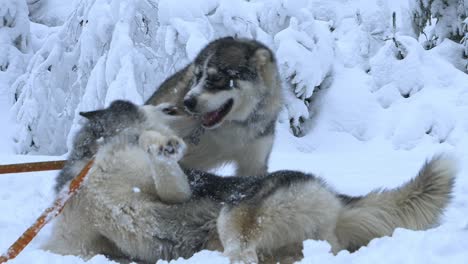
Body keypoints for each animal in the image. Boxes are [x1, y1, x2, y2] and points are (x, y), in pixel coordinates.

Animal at [44, 102, 458, 262]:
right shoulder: (73, 246)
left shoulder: (176, 189)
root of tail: (334, 199)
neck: (91, 165)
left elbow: (155, 151)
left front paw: (161, 144)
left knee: (242, 253)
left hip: (233, 216)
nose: (181, 104)